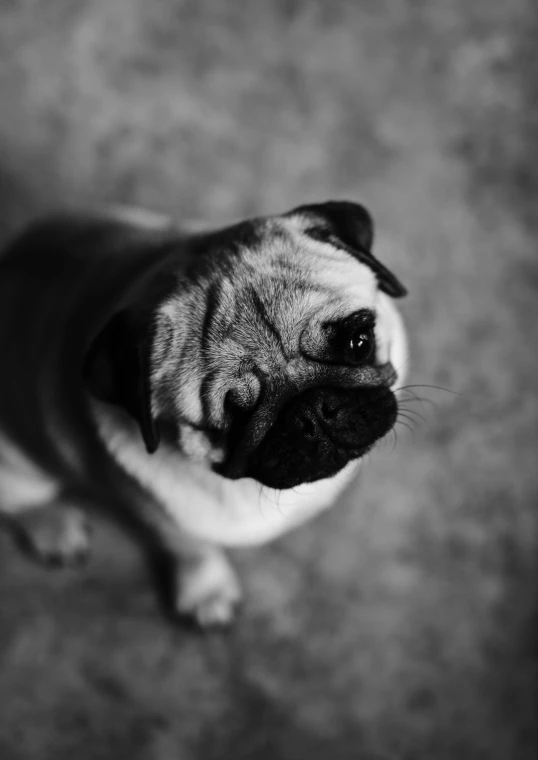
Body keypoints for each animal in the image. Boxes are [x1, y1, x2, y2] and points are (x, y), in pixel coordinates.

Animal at [0, 200, 404, 624]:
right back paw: (51, 525)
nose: (313, 412)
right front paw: (207, 592)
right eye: (234, 415)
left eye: (359, 342)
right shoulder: (158, 512)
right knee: (20, 500)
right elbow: (189, 548)